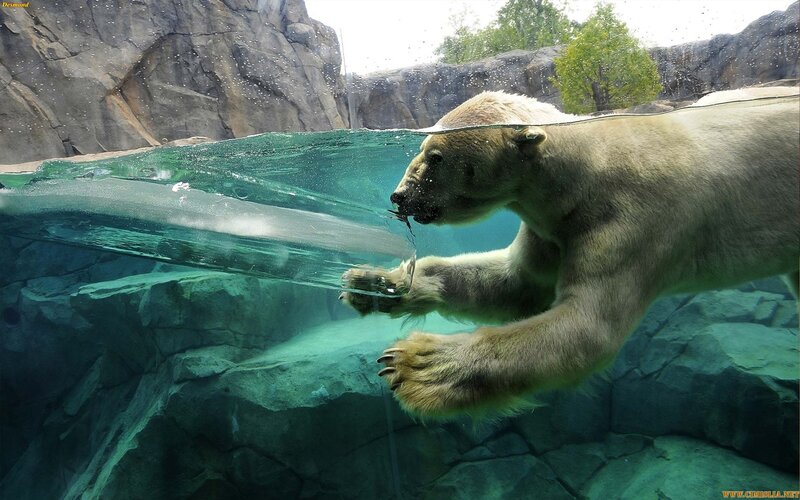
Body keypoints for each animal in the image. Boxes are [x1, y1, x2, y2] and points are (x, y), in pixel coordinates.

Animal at [341, 90, 800, 418]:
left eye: (435, 156)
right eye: (423, 149)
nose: (400, 195)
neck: (585, 175)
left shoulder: (629, 222)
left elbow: (586, 327)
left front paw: (416, 364)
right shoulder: (552, 227)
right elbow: (515, 282)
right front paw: (373, 283)